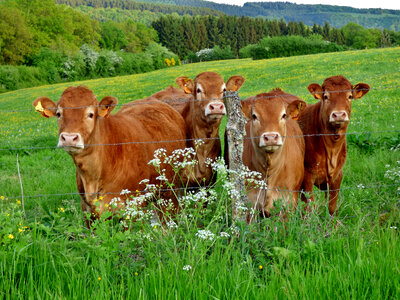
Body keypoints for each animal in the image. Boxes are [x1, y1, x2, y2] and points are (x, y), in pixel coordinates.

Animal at [32, 85, 186, 224]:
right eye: (59, 114)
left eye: (91, 114)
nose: (69, 138)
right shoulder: (87, 212)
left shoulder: (133, 209)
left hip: (170, 190)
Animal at [298, 75, 370, 216]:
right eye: (326, 96)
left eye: (349, 96)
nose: (339, 115)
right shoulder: (307, 177)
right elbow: (310, 206)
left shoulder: (337, 175)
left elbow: (332, 206)